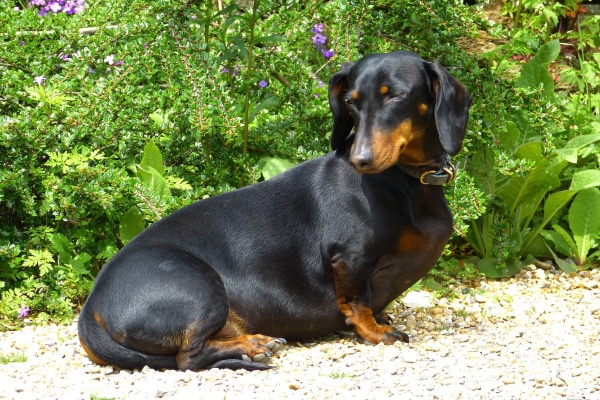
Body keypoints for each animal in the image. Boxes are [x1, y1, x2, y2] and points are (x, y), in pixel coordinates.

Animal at [78, 50, 474, 372]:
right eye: (351, 102)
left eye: (396, 95)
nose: (360, 160)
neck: (405, 179)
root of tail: (89, 312)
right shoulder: (350, 258)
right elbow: (357, 303)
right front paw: (376, 331)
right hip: (201, 289)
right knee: (188, 357)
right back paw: (253, 344)